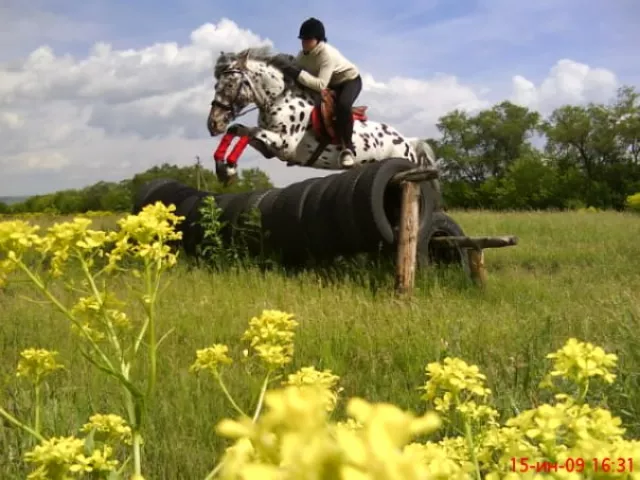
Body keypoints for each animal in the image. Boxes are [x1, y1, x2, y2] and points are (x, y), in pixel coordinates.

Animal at [206, 46, 439, 185]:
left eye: (229, 85)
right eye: (216, 85)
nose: (213, 124)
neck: (280, 98)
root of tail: (408, 141)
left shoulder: (284, 143)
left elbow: (249, 133)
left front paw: (229, 169)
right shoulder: (269, 149)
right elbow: (238, 131)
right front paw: (222, 168)